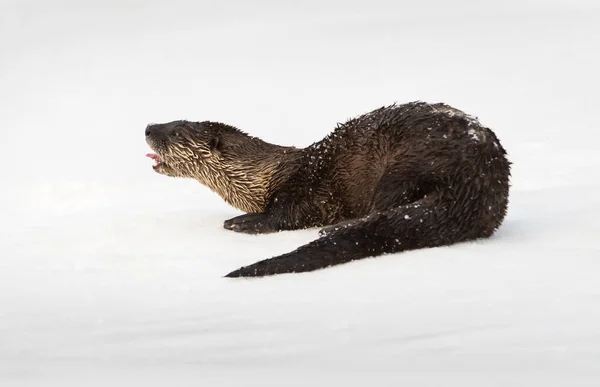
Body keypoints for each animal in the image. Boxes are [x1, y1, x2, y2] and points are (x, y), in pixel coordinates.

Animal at [145, 101, 510, 278]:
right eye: (169, 122)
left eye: (176, 132)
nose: (148, 127)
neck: (263, 176)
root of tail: (480, 182)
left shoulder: (304, 189)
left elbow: (283, 216)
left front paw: (241, 222)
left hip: (408, 163)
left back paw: (333, 229)